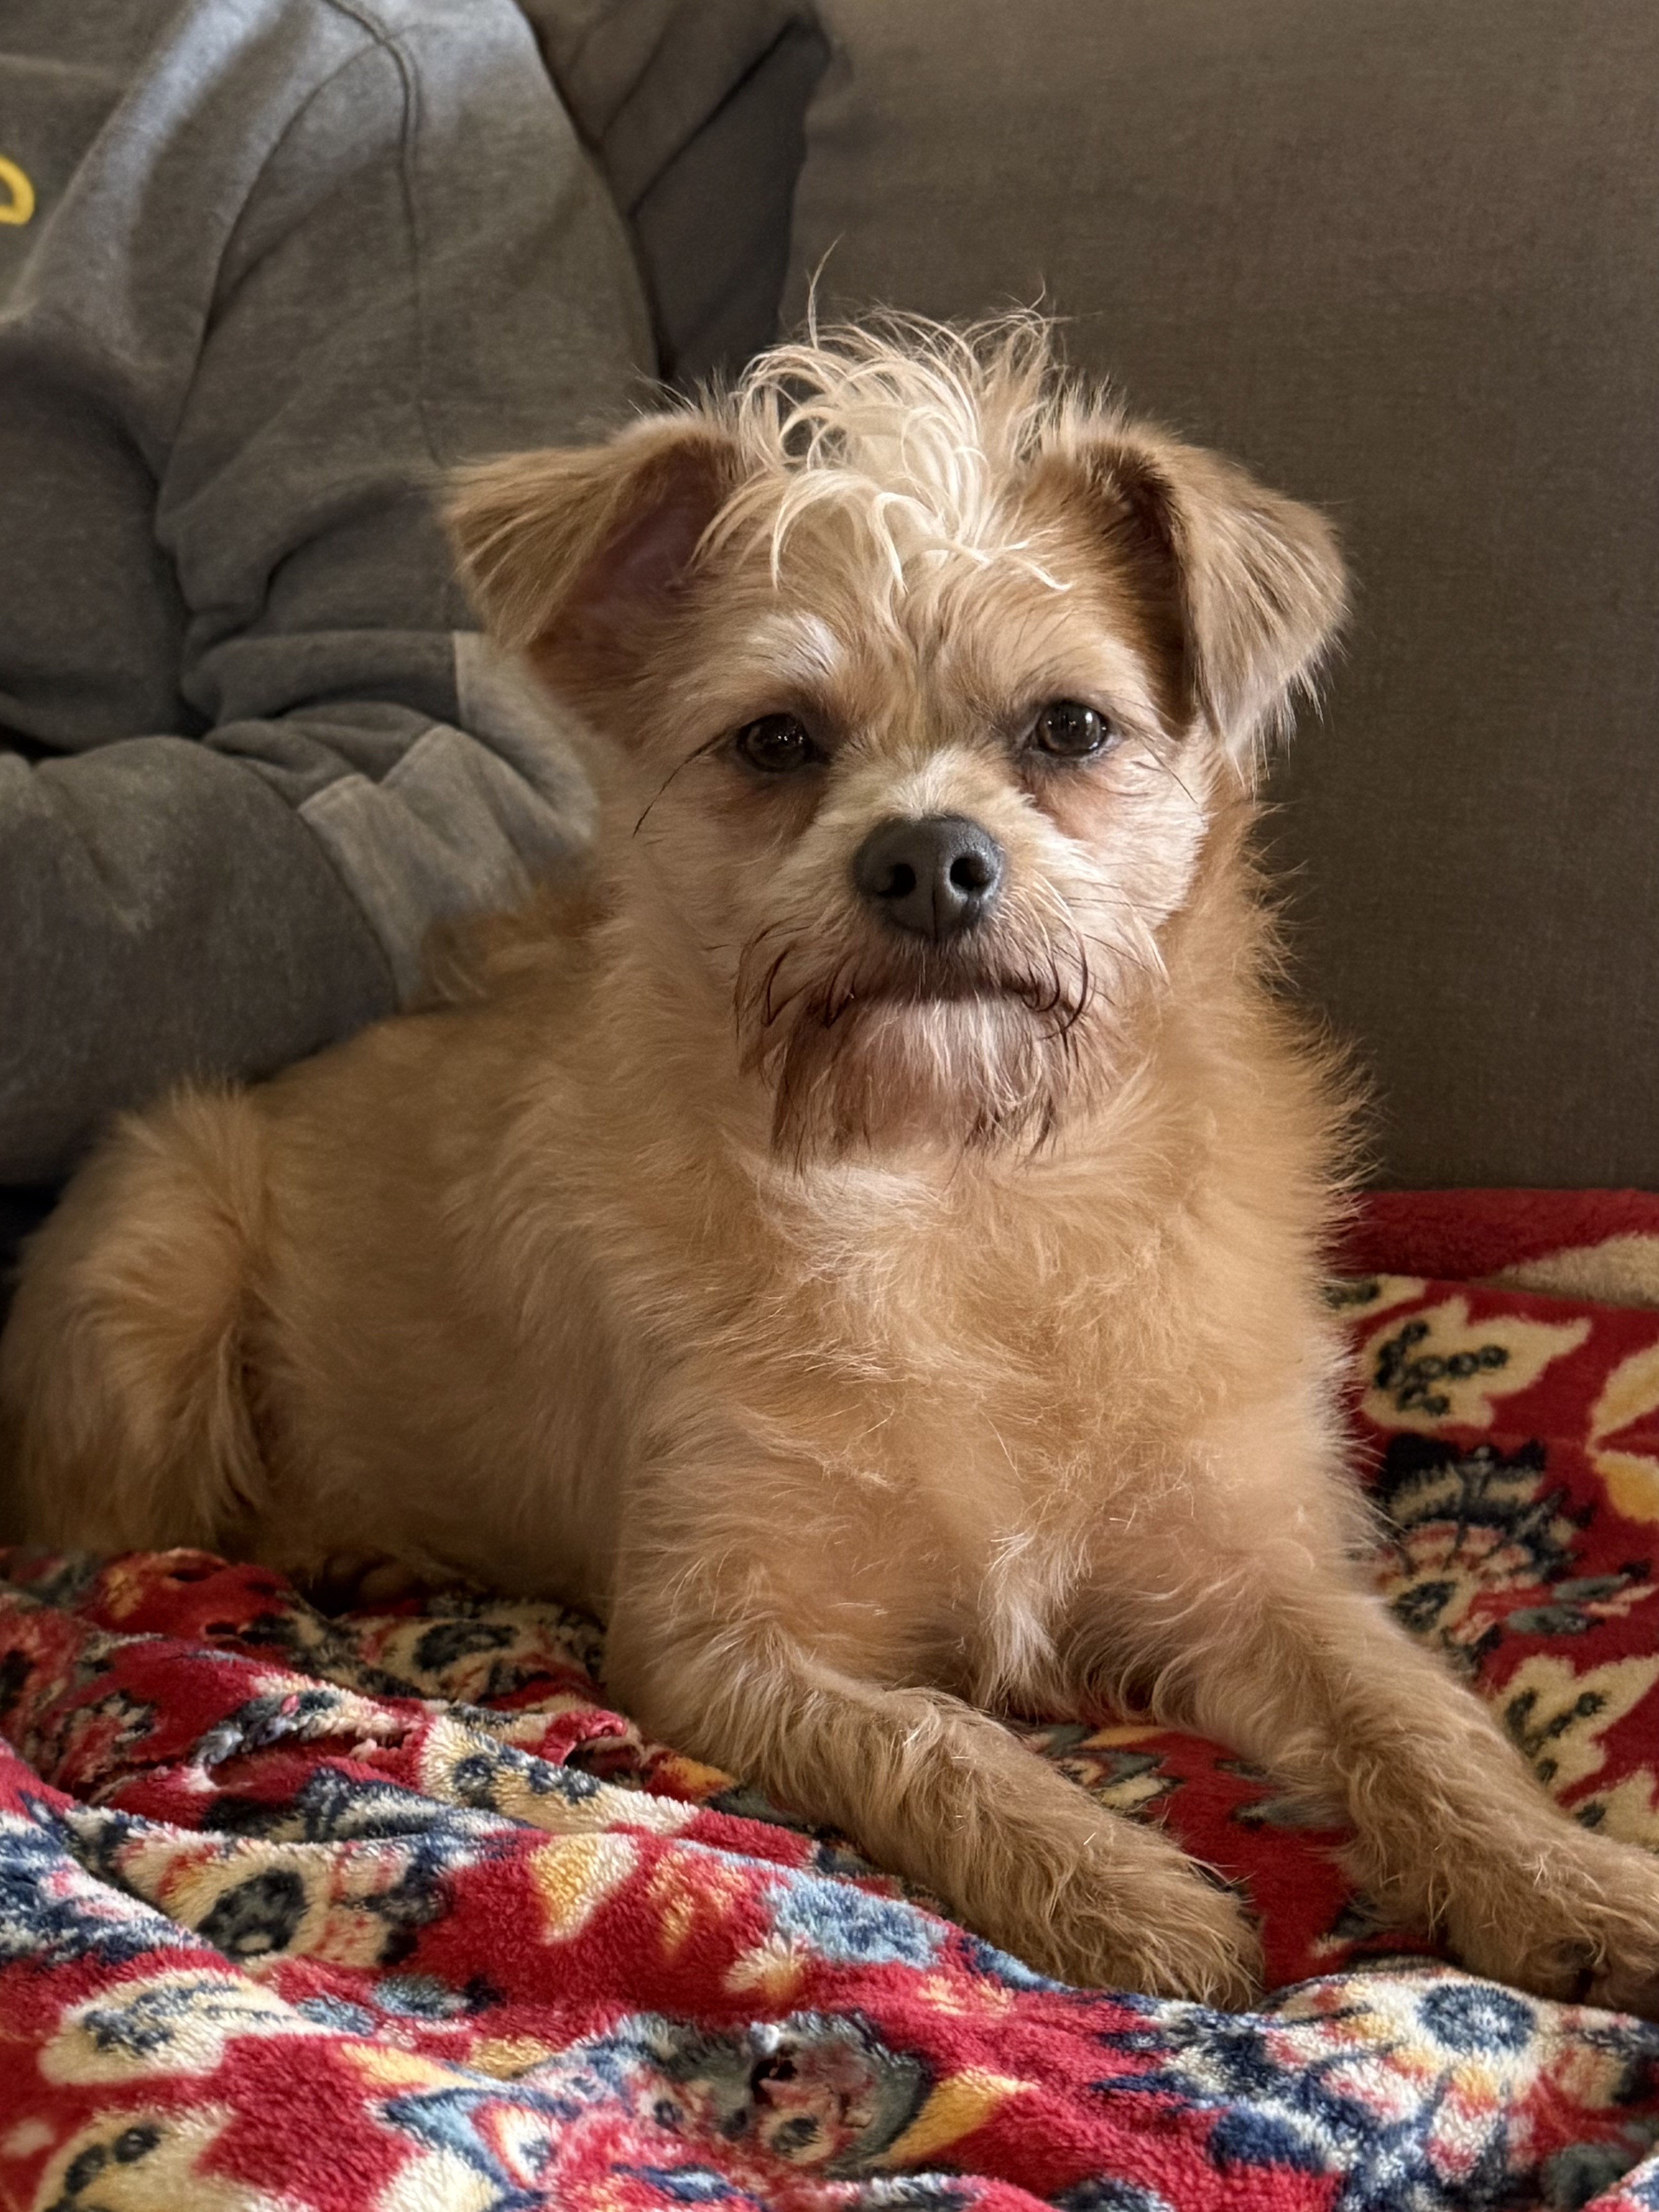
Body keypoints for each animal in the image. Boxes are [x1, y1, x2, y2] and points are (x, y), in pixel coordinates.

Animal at [7, 316, 1659, 2009]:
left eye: (1070, 726)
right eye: (775, 741)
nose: (926, 855)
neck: (961, 1193)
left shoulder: (1255, 1577)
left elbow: (1415, 1715)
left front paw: (1562, 1880)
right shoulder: (718, 1637)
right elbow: (935, 1733)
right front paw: (1113, 1883)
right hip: (163, 1259)